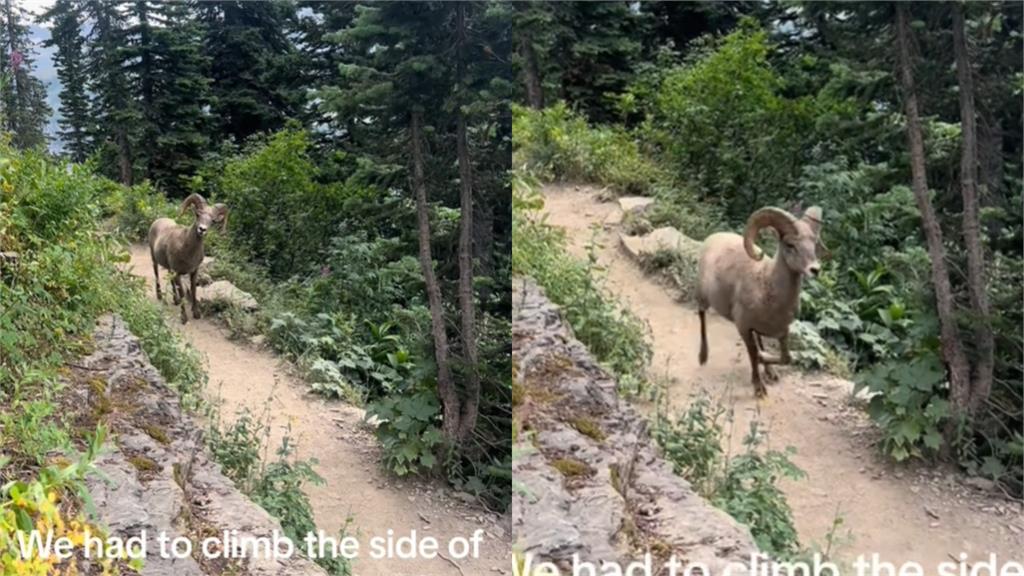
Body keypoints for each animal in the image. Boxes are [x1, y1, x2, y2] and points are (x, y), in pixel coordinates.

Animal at [148, 192, 228, 323]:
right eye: (198, 214)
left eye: (212, 220)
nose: (202, 229)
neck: (186, 250)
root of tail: (157, 221)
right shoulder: (178, 273)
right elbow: (182, 293)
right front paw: (184, 318)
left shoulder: (193, 271)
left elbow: (193, 290)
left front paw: (196, 314)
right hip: (154, 258)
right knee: (156, 274)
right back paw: (159, 296)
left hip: (169, 268)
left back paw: (175, 300)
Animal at [692, 206, 819, 399]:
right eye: (790, 245)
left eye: (814, 244)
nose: (815, 269)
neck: (765, 283)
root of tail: (712, 238)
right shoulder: (744, 328)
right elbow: (752, 354)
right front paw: (758, 388)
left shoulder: (782, 331)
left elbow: (786, 358)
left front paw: (766, 363)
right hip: (703, 298)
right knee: (701, 316)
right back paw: (703, 357)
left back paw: (769, 371)